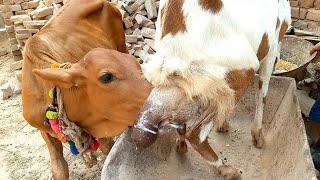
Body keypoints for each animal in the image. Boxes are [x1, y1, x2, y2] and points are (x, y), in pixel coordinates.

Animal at [22, 0, 151, 179]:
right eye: (106, 77)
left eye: (136, 66)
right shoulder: (44, 131)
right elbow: (59, 169)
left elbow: (108, 151)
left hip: (121, 43)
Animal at [131, 0, 292, 178]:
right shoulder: (272, 48)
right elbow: (262, 93)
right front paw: (258, 138)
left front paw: (223, 126)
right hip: (241, 70)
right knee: (196, 133)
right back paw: (228, 170)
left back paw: (181, 147)